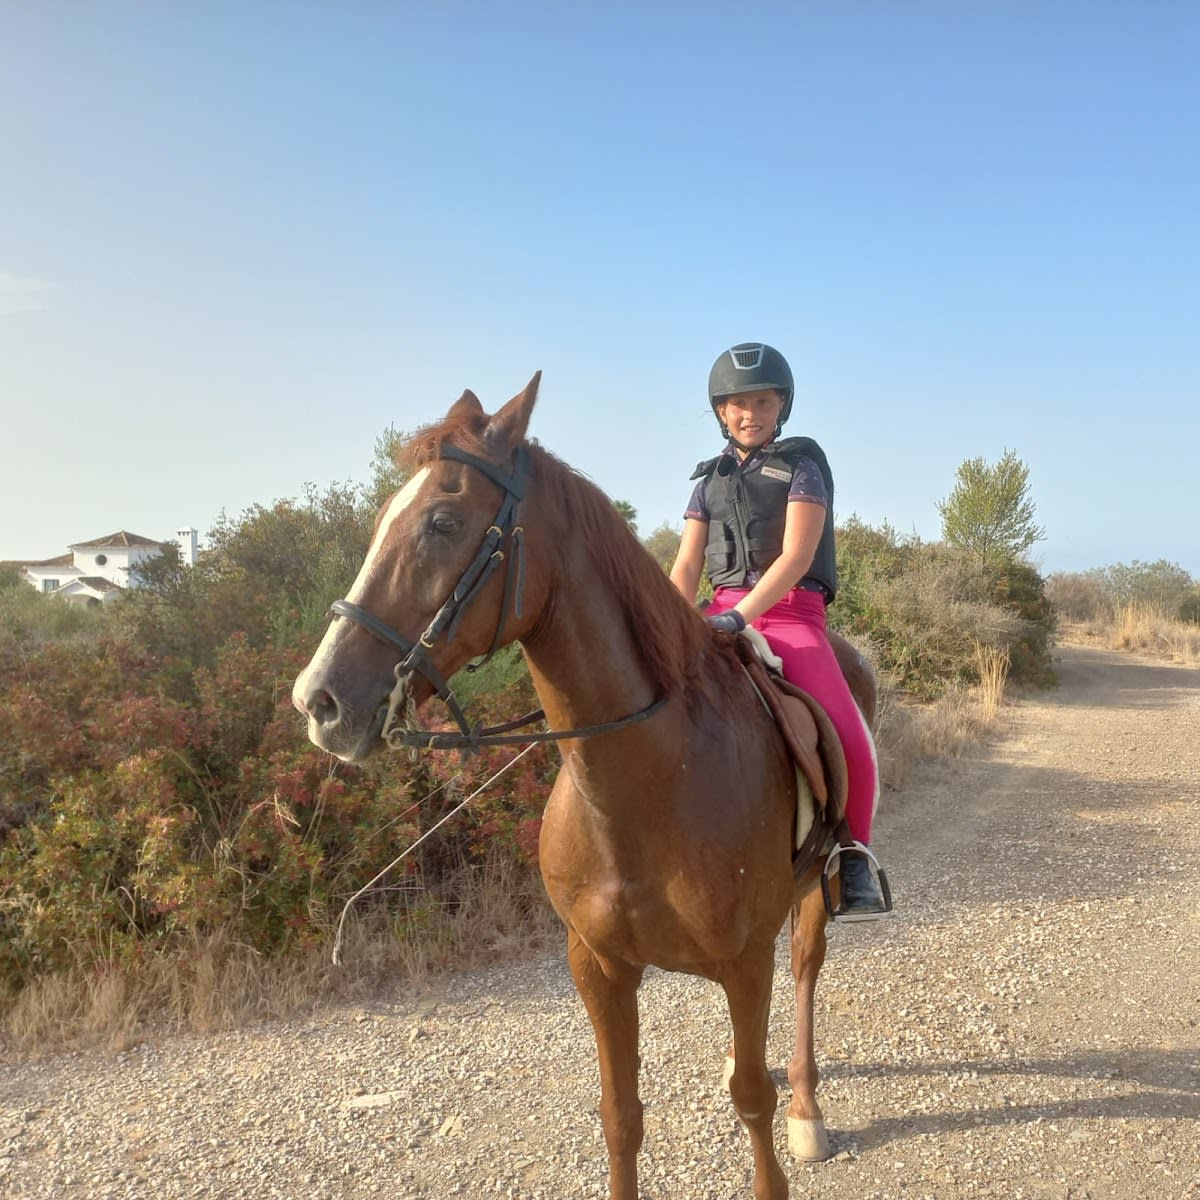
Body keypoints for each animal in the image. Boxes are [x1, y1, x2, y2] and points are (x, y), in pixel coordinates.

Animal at [293, 374, 877, 1200]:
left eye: (443, 520)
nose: (320, 702)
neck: (649, 783)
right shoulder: (597, 967)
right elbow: (620, 1115)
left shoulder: (743, 961)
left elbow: (752, 1103)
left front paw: (779, 1115)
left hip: (811, 894)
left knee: (803, 969)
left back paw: (807, 1108)